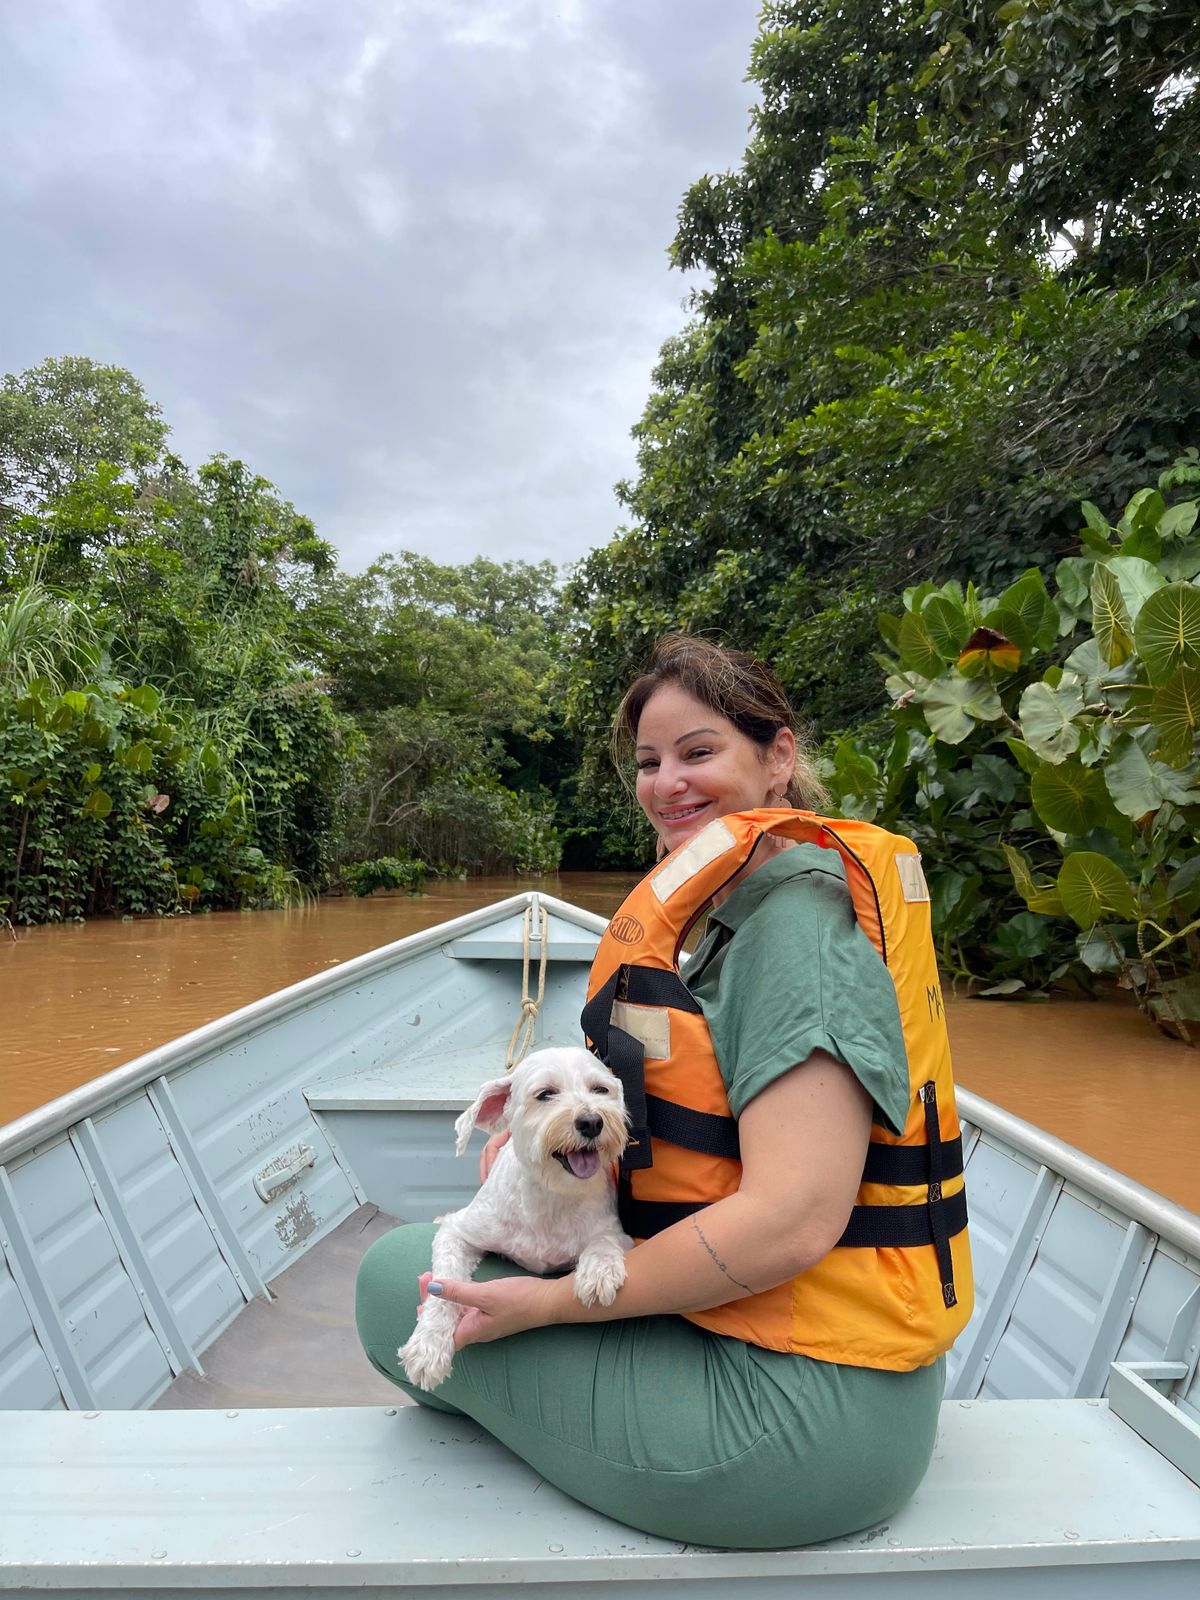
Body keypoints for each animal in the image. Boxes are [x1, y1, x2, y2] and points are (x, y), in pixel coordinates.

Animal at [400, 1043, 633, 1395]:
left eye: (600, 1090)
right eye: (545, 1094)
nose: (592, 1121)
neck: (550, 1197)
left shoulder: (618, 1234)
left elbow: (604, 1242)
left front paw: (598, 1272)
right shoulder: (462, 1232)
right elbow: (444, 1282)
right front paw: (428, 1347)